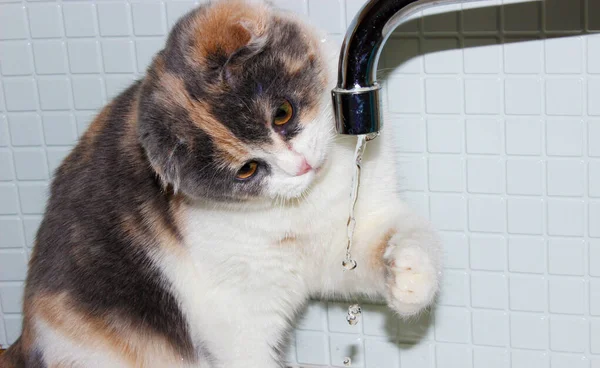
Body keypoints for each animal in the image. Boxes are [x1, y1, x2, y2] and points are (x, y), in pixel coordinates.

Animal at [0, 0, 440, 368]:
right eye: (246, 169)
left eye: (282, 113)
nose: (298, 166)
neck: (309, 202)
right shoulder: (235, 315)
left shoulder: (348, 233)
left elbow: (394, 236)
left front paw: (411, 278)